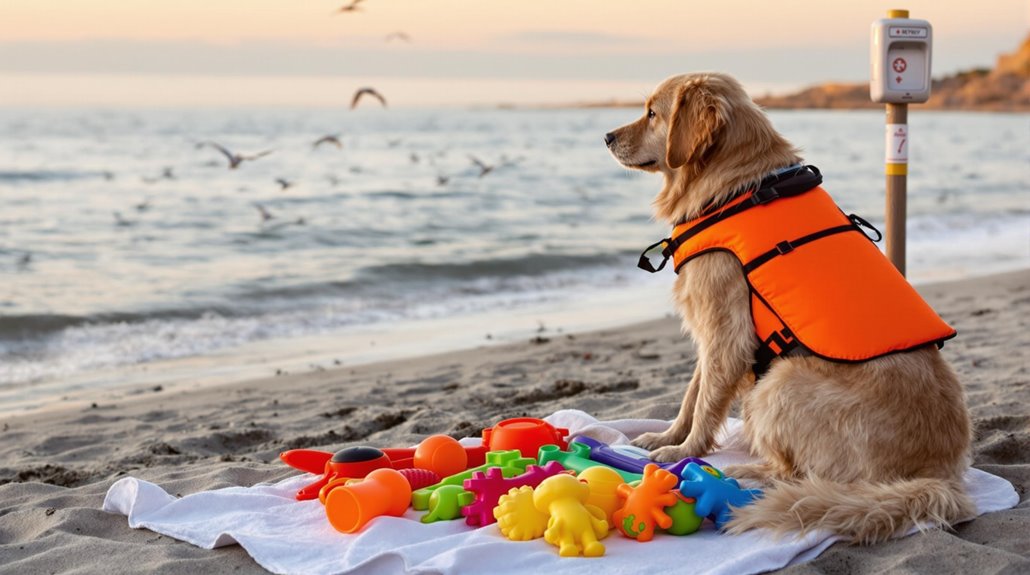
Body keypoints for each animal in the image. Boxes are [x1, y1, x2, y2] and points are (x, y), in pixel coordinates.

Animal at [601, 73, 972, 544]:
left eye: (652, 113)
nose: (607, 136)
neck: (735, 186)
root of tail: (939, 474)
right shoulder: (713, 332)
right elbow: (691, 395)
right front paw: (665, 436)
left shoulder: (725, 330)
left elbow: (705, 402)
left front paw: (684, 452)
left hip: (780, 382)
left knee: (796, 474)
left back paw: (747, 475)